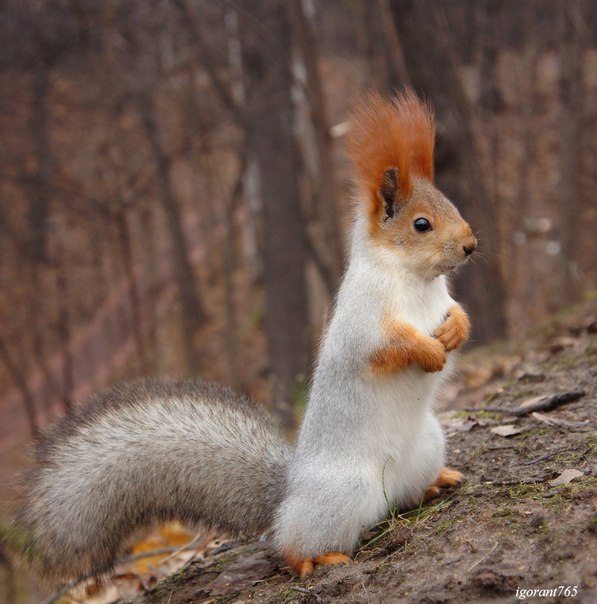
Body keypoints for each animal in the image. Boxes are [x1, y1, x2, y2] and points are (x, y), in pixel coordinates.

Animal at [18, 88, 474, 580]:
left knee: (405, 494)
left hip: (429, 443)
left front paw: (454, 331)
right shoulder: (362, 322)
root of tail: (289, 493)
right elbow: (386, 346)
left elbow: (457, 315)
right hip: (344, 492)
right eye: (421, 224)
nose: (471, 245)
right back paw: (317, 557)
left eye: (450, 203)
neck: (415, 280)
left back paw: (436, 483)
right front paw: (428, 350)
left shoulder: (439, 302)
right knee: (293, 543)